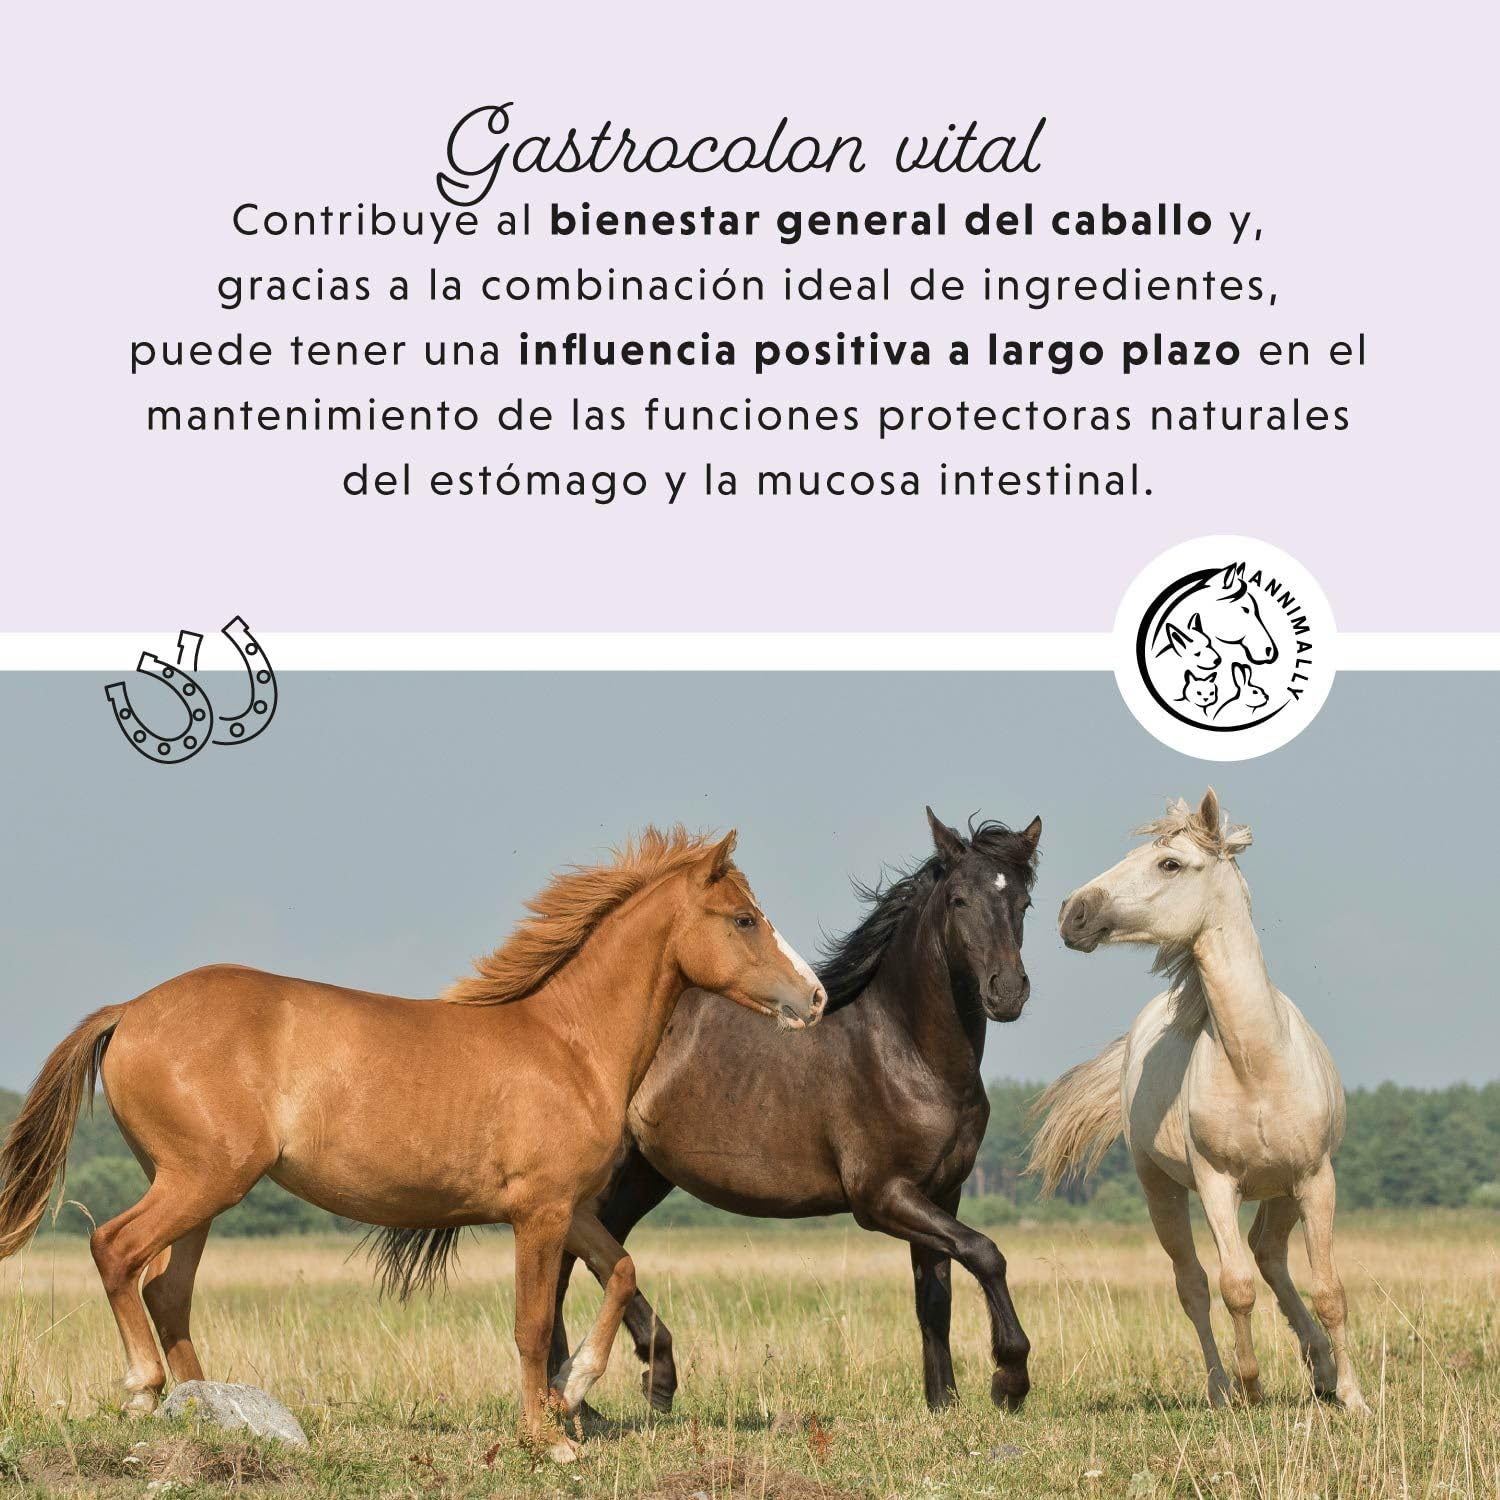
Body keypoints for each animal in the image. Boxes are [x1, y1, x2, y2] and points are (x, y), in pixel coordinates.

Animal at [0, 826, 827, 1462]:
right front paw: (547, 1437)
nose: (814, 997)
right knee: (116, 1249)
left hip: (199, 1190)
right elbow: (532, 1325)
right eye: (744, 919)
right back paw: (143, 1390)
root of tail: (130, 1009)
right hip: (201, 1180)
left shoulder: (567, 1209)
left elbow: (621, 1272)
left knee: (167, 1288)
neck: (568, 1044)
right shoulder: (537, 1214)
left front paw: (575, 1392)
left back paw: (211, 1412)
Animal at [550, 808, 1042, 1414]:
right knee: (566, 1262)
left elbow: (935, 1298)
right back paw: (597, 1390)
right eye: (959, 900)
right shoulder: (881, 1197)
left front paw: (942, 1403)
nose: (1007, 992)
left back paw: (619, 1386)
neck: (907, 1052)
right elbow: (985, 1252)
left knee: (596, 1255)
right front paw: (1009, 1379)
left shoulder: (940, 1193)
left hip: (643, 1176)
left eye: (1023, 902)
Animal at [1030, 791, 1366, 1412]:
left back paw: (1322, 1370)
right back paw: (1221, 1388)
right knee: (1195, 1284)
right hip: (1160, 1189)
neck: (1257, 1064)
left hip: (1283, 1190)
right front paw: (1251, 1387)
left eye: (1170, 864)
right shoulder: (1216, 1184)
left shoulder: (1315, 1179)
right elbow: (1234, 1287)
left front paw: (1354, 1398)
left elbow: (1330, 1289)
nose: (1072, 913)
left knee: (1269, 1254)